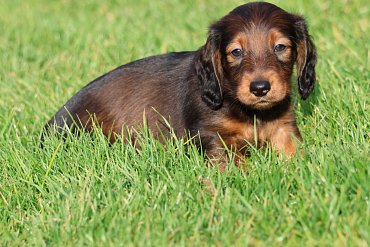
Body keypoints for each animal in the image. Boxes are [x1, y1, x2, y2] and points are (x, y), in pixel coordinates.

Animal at [42, 2, 316, 164]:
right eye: (236, 52)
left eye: (280, 47)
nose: (260, 88)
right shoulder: (211, 135)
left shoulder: (283, 127)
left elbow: (295, 153)